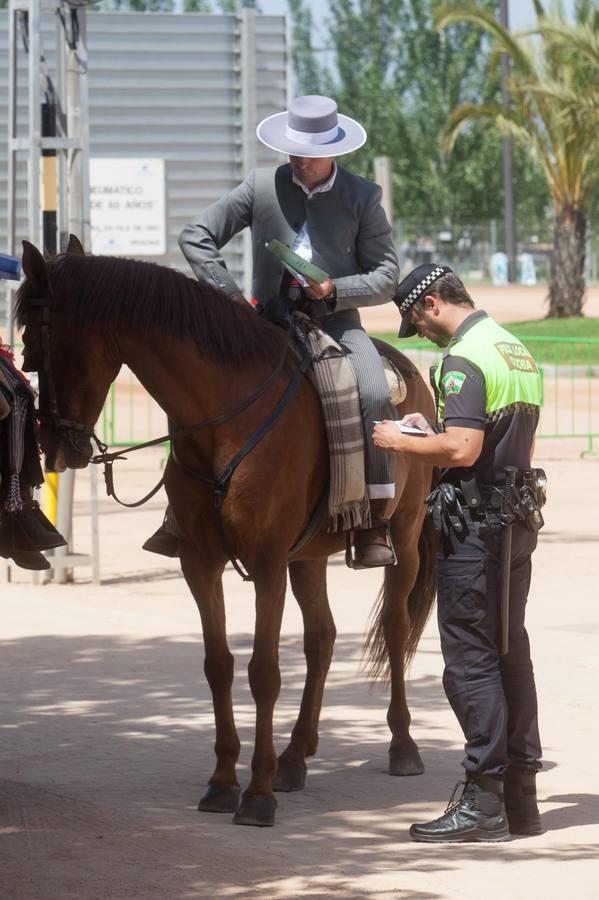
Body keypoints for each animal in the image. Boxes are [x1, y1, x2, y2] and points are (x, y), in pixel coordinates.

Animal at [17, 236, 436, 828]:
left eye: (33, 342)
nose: (54, 448)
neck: (224, 416)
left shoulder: (266, 562)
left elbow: (264, 671)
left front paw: (256, 793)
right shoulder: (201, 561)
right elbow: (219, 665)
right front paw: (222, 782)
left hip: (403, 535)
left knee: (396, 630)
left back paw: (401, 747)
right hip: (308, 555)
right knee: (322, 637)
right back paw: (295, 756)